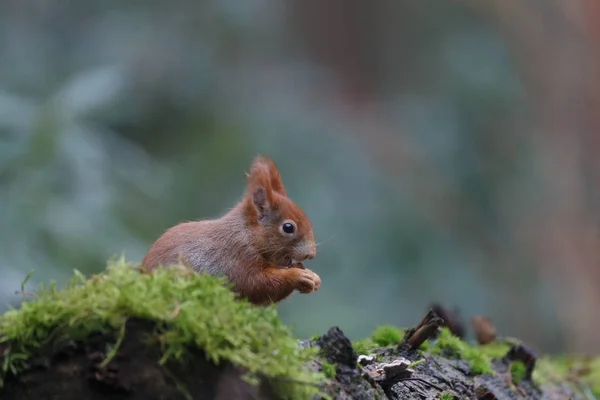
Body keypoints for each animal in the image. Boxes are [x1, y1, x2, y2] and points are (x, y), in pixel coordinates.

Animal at [141, 155, 322, 304]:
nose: (311, 254)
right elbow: (257, 284)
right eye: (288, 227)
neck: (247, 235)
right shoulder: (237, 257)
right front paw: (298, 276)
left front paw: (313, 277)